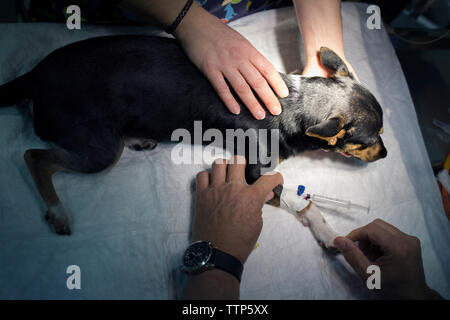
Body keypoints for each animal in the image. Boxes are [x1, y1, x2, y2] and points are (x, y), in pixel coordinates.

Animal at [0, 35, 386, 235]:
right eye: (369, 141)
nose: (384, 155)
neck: (296, 101)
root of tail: (33, 75)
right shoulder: (254, 174)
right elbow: (295, 200)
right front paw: (326, 231)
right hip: (98, 149)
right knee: (35, 157)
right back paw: (58, 211)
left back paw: (137, 138)